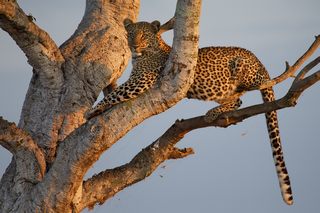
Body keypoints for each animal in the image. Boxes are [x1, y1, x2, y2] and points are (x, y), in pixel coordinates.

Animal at [85, 19, 292, 206]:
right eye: (130, 34)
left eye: (143, 35)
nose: (133, 45)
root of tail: (260, 62)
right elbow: (114, 94)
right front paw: (96, 110)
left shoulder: (141, 80)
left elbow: (115, 94)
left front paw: (90, 112)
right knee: (237, 100)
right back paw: (215, 111)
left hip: (238, 70)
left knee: (243, 94)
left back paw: (212, 112)